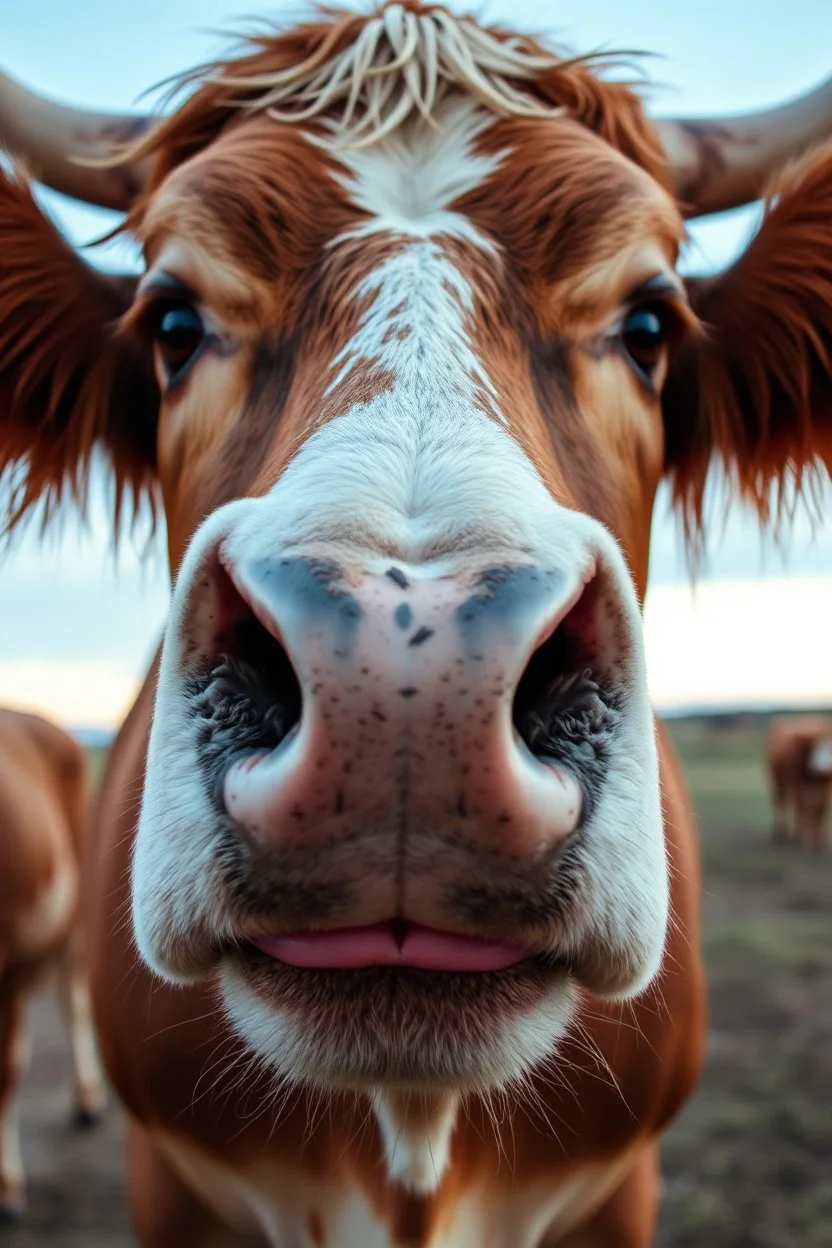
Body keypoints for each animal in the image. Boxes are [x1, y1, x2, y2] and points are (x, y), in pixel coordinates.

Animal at [768, 714, 832, 851]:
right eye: (814, 748)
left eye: (831, 748)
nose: (825, 765)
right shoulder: (796, 785)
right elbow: (803, 809)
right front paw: (806, 841)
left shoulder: (825, 787)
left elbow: (820, 810)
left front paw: (822, 842)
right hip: (776, 781)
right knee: (780, 803)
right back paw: (781, 833)